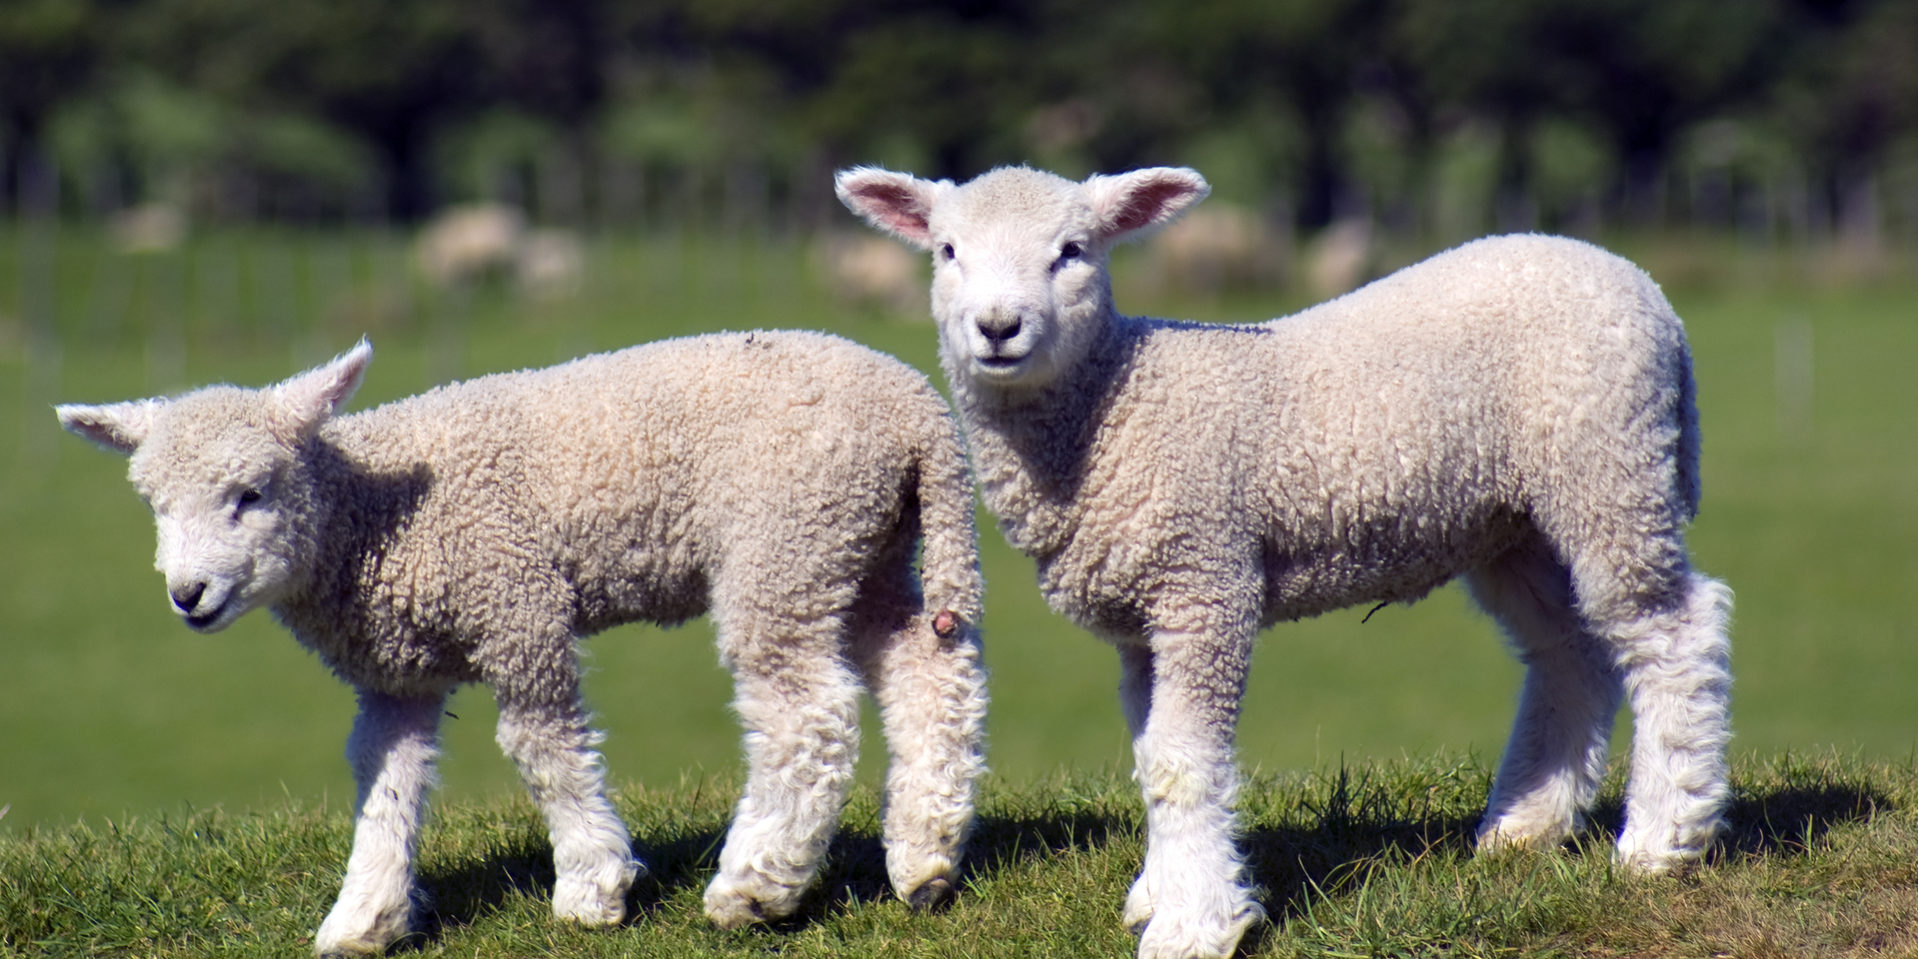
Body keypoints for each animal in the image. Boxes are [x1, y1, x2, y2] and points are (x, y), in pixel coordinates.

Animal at [55, 331, 988, 956]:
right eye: (156, 505)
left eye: (252, 493)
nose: (188, 595)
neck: (368, 519)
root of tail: (920, 411)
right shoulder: (396, 673)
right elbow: (384, 777)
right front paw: (364, 914)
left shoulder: (516, 602)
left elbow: (542, 746)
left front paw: (592, 883)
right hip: (863, 545)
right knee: (930, 670)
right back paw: (925, 856)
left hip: (787, 539)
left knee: (807, 715)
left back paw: (757, 884)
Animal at [838, 164, 1732, 959]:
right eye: (947, 249)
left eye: (1073, 250)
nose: (997, 327)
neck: (1111, 402)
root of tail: (1645, 287)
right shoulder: (1143, 615)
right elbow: (1150, 756)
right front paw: (1159, 890)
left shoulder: (1205, 578)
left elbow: (1183, 761)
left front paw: (1196, 924)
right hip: (1512, 522)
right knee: (1570, 648)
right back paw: (1527, 826)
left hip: (1608, 465)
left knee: (1672, 630)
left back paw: (1663, 839)